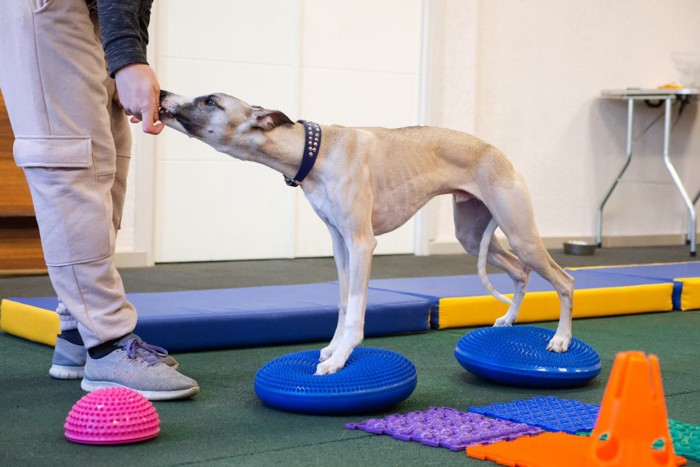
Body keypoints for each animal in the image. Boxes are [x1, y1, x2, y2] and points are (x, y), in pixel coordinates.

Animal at [159, 91, 576, 376]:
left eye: (210, 100)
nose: (163, 95)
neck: (316, 149)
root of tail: (499, 154)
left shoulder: (361, 243)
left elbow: (357, 310)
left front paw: (341, 357)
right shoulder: (340, 244)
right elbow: (344, 302)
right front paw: (332, 348)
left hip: (521, 232)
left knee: (565, 280)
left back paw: (561, 339)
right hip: (474, 237)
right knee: (520, 271)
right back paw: (508, 320)